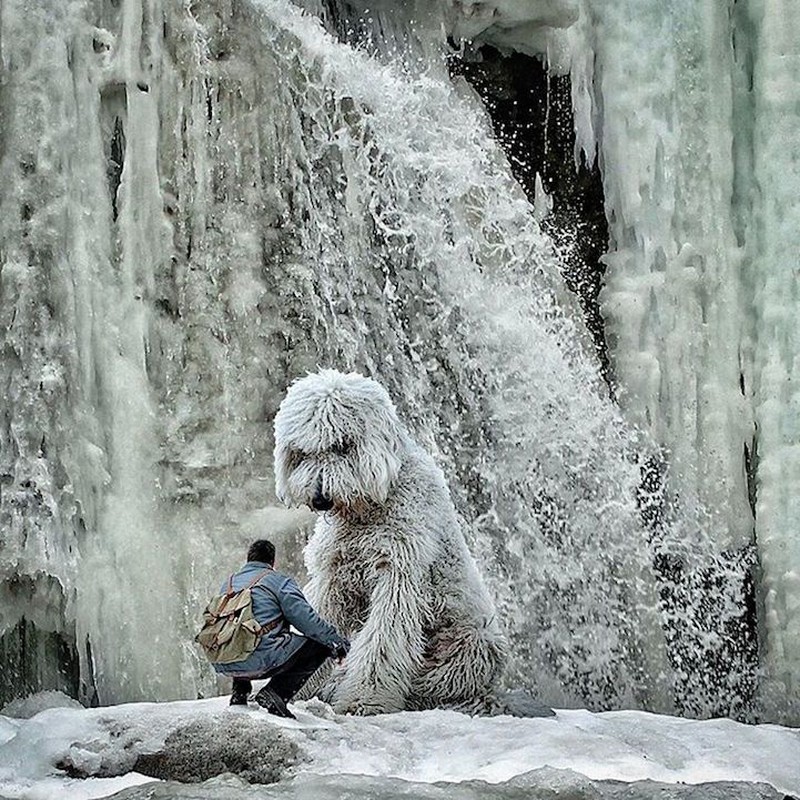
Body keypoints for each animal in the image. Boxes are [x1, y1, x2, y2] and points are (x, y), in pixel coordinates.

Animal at [276, 368, 506, 712]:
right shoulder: (333, 576)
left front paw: (363, 700)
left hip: (473, 641)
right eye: (302, 453)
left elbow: (383, 641)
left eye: (342, 445)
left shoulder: (398, 575)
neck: (367, 511)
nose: (319, 498)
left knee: (437, 681)